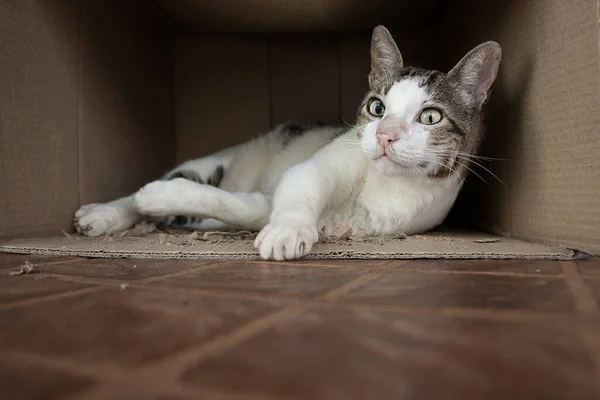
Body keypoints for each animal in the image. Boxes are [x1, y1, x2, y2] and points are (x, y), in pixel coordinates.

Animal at [74, 25, 502, 262]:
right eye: (377, 107)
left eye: (430, 116)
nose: (384, 134)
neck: (382, 184)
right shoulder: (314, 167)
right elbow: (296, 189)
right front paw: (288, 230)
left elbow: (243, 207)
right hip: (218, 160)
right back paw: (105, 212)